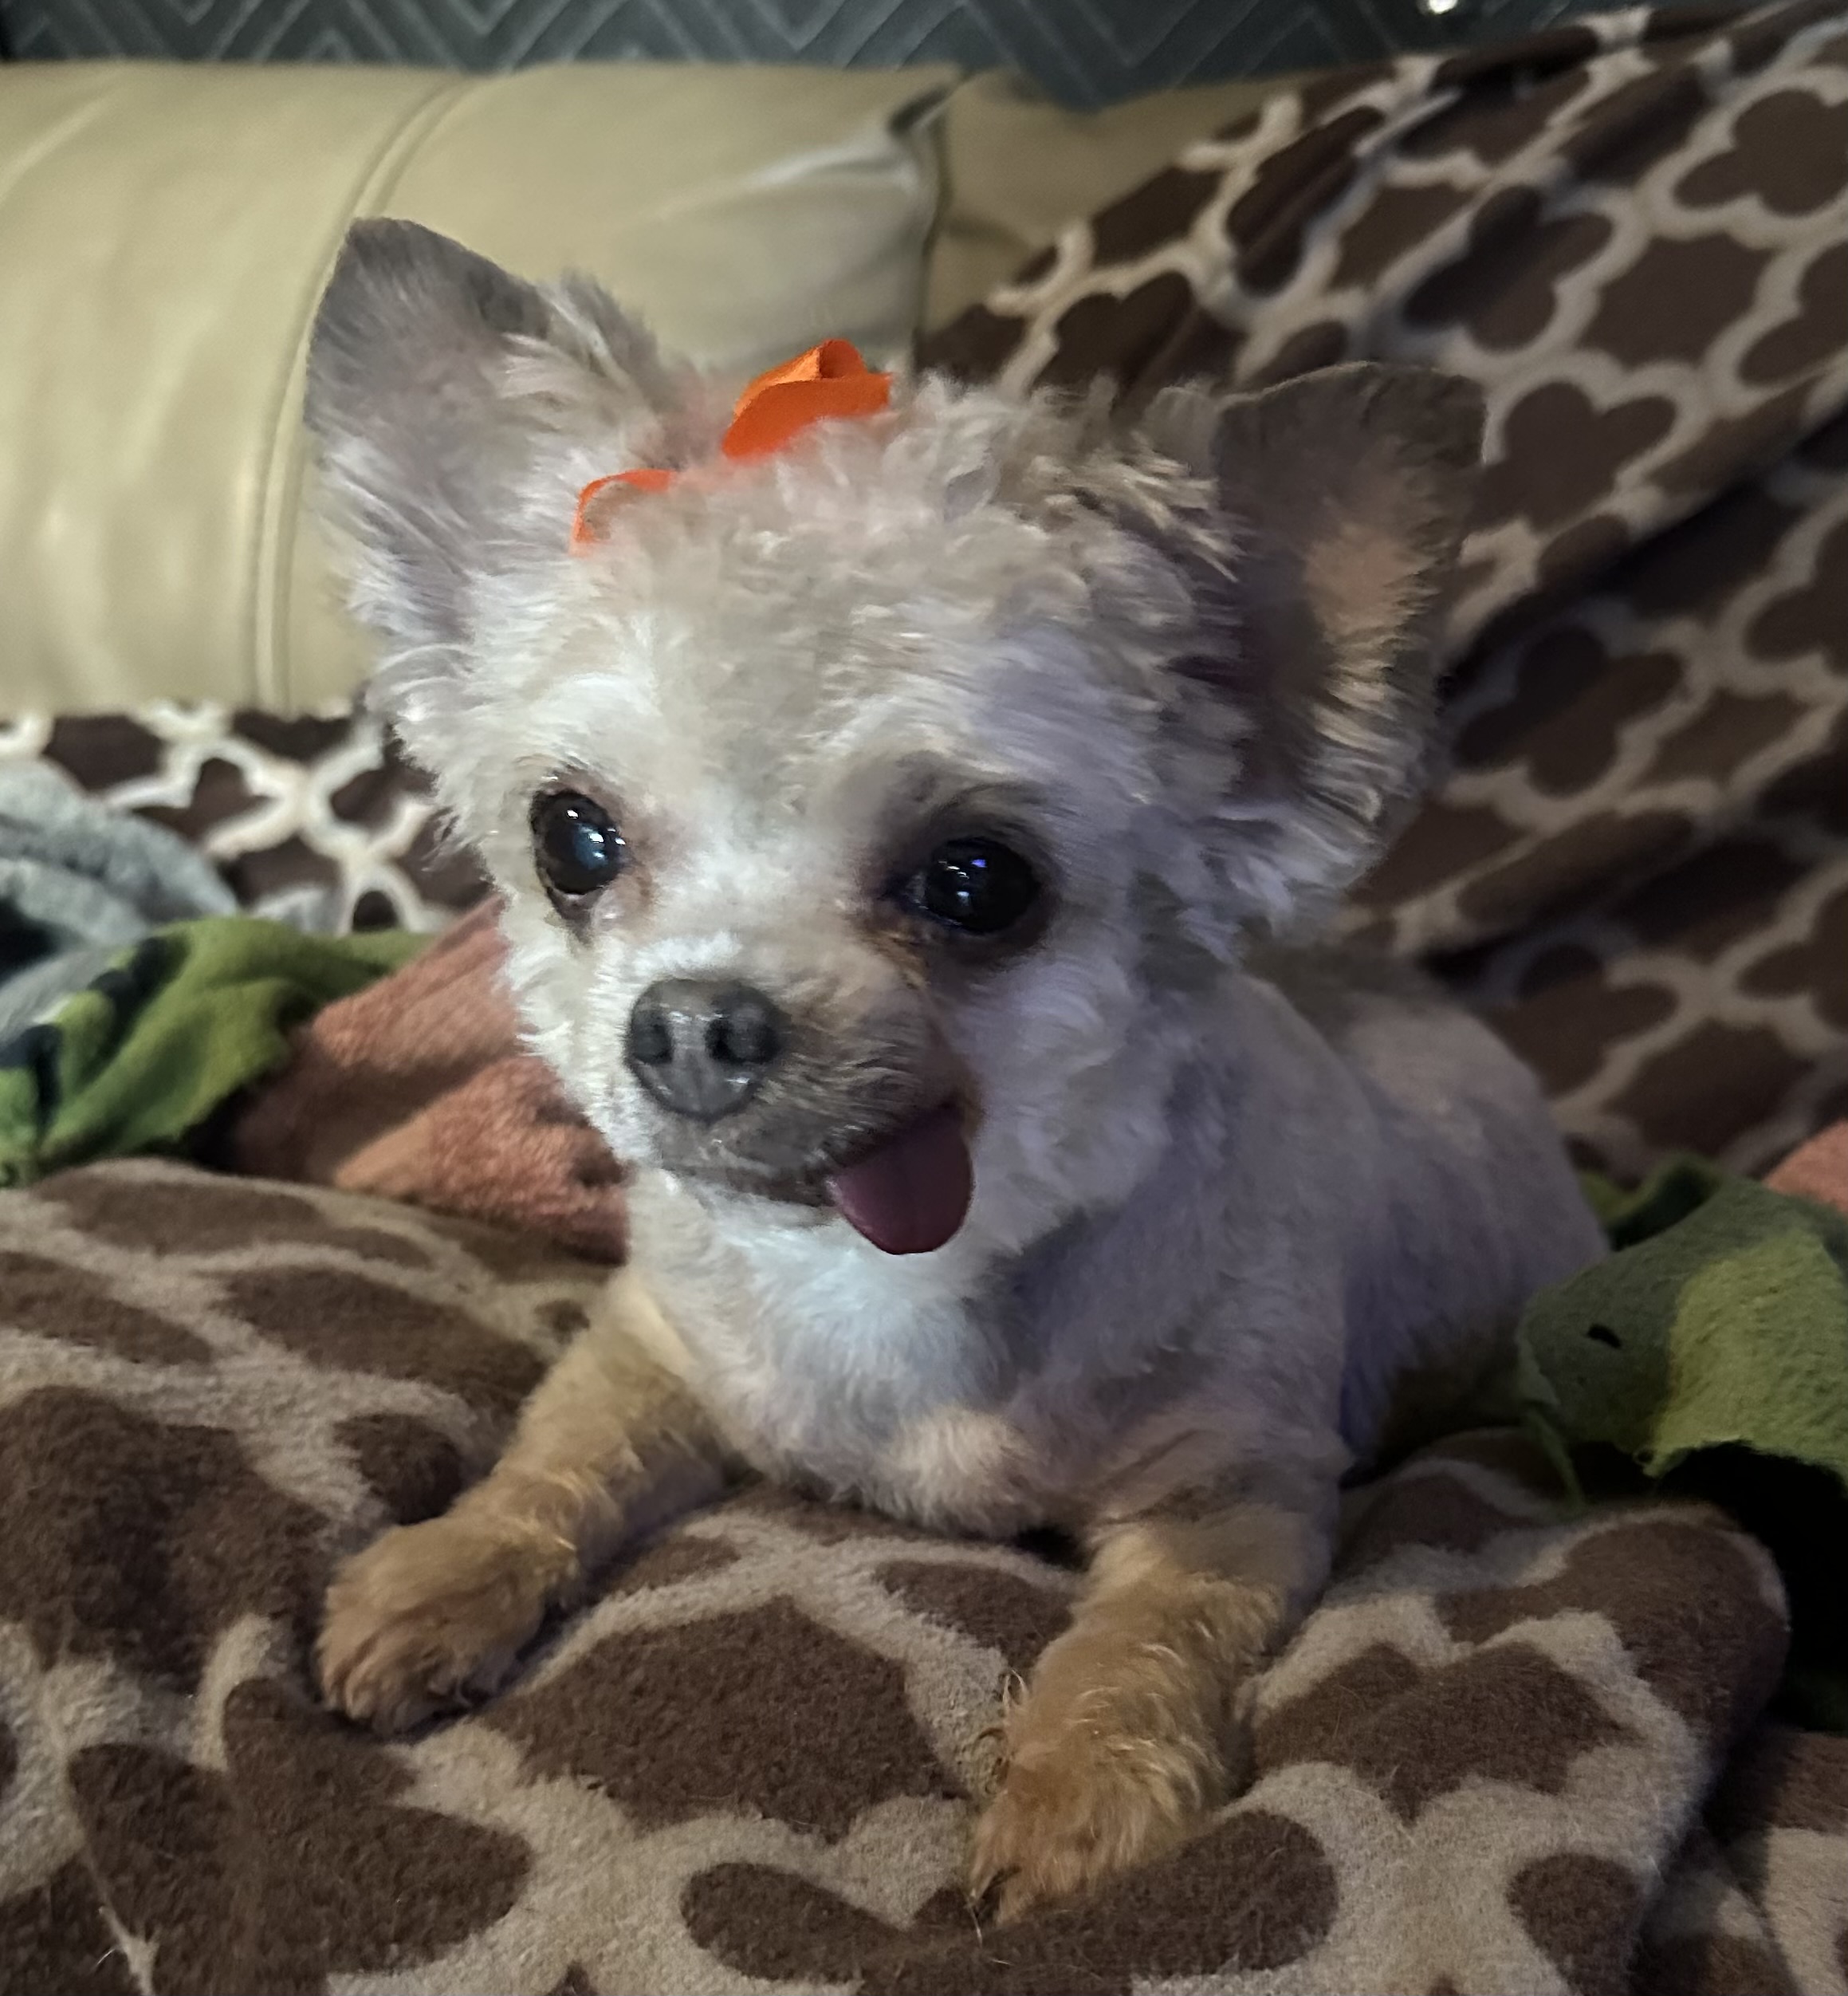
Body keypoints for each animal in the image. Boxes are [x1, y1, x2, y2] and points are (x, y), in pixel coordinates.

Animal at [306, 218, 1603, 1919]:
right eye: (569, 839)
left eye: (978, 881)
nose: (692, 1018)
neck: (894, 1266)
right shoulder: (652, 1348)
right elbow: (550, 1458)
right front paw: (446, 1571)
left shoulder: (1238, 1491)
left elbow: (1145, 1636)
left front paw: (1080, 1790)